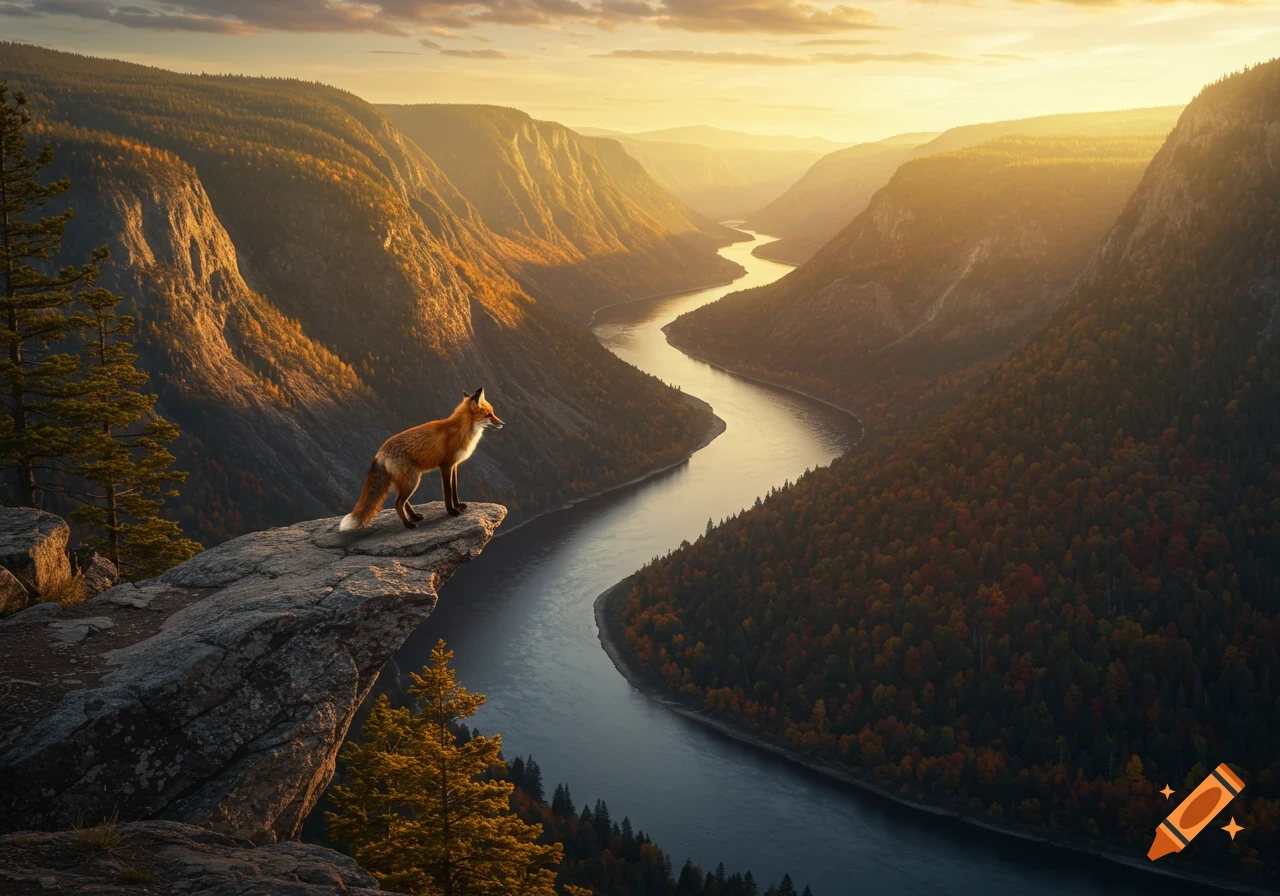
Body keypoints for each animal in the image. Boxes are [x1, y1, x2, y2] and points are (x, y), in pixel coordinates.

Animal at [340, 388, 505, 531]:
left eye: (492, 413)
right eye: (488, 414)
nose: (503, 424)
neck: (460, 430)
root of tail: (380, 452)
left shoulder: (454, 465)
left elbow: (455, 490)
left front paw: (458, 506)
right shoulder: (445, 465)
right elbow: (448, 491)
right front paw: (451, 511)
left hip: (406, 481)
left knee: (402, 502)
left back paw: (413, 516)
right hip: (413, 480)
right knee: (398, 503)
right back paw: (408, 524)